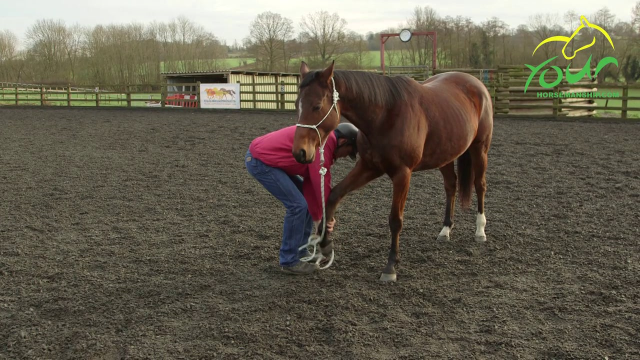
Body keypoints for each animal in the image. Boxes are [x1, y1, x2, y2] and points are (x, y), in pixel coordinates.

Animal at [292, 61, 492, 282]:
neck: (385, 115)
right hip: (445, 155)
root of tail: (474, 82)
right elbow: (334, 195)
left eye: (317, 106)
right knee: (451, 186)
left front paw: (390, 266)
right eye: (297, 104)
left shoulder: (402, 174)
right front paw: (325, 242)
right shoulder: (368, 167)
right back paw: (446, 229)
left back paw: (480, 230)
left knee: (480, 185)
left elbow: (395, 220)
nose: (300, 152)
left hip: (480, 149)